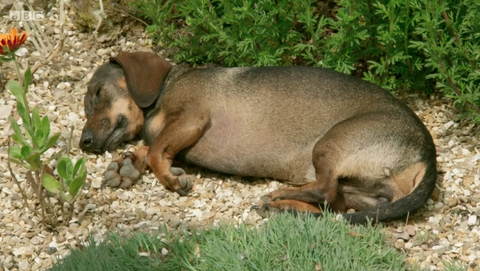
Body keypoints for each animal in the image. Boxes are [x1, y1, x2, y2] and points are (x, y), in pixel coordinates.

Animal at [80, 51, 436, 225]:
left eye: (98, 93)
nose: (83, 142)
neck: (166, 87)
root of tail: (427, 153)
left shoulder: (192, 118)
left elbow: (156, 150)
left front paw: (167, 177)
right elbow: (152, 146)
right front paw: (126, 165)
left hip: (330, 143)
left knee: (324, 189)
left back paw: (280, 197)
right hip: (358, 191)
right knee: (330, 202)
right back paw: (285, 208)